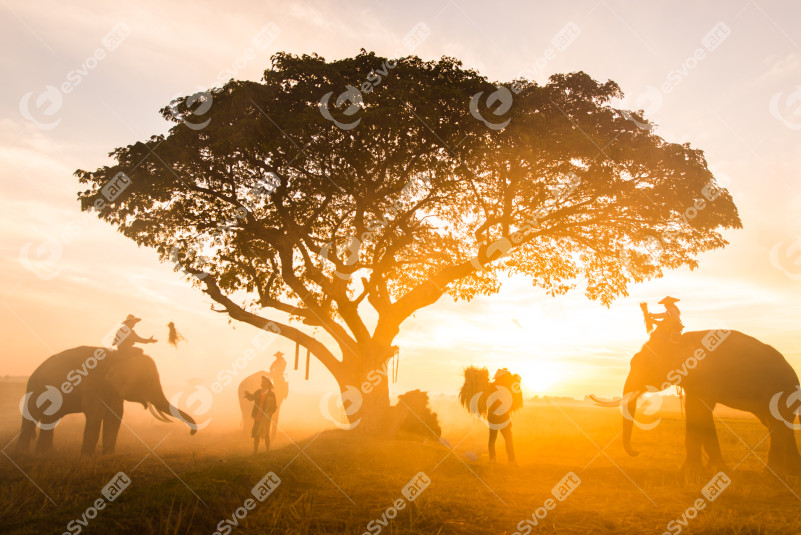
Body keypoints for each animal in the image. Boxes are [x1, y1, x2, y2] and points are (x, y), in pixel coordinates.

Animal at [18, 348, 196, 456]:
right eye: (146, 381)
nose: (191, 433)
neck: (119, 355)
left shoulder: (114, 390)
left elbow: (115, 416)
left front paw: (108, 456)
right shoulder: (92, 384)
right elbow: (95, 415)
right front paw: (86, 458)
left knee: (51, 420)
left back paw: (44, 454)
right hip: (33, 389)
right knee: (30, 419)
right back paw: (23, 454)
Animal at [592, 330, 800, 478]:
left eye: (646, 366)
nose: (636, 452)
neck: (678, 341)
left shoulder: (705, 377)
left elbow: (700, 411)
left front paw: (694, 470)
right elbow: (696, 411)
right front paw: (707, 468)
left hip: (782, 391)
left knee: (778, 424)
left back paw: (774, 472)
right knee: (775, 424)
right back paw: (788, 471)